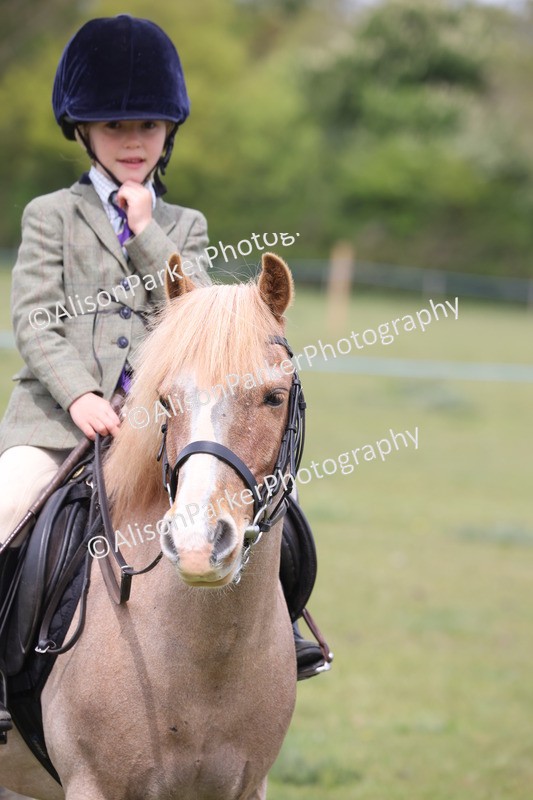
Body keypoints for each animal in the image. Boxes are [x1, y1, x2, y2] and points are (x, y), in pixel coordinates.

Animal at [0, 252, 302, 800]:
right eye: (164, 400)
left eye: (274, 396)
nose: (199, 546)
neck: (207, 663)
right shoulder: (92, 785)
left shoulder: (247, 787)